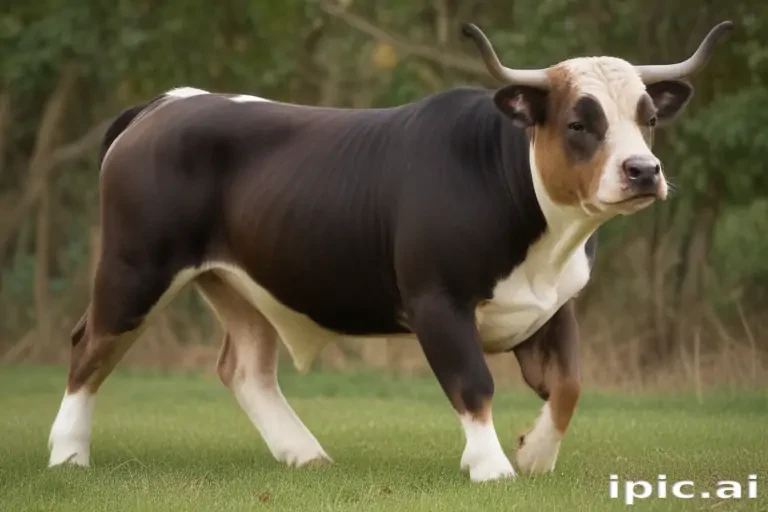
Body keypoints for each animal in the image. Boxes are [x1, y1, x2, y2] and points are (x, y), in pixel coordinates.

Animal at [48, 21, 732, 482]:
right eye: (578, 123)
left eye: (646, 119)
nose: (643, 171)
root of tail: (166, 104)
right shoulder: (436, 302)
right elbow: (473, 381)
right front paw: (490, 466)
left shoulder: (555, 307)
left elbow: (568, 385)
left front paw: (534, 453)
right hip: (135, 268)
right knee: (90, 345)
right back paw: (68, 453)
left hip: (240, 284)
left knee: (244, 368)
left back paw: (306, 454)